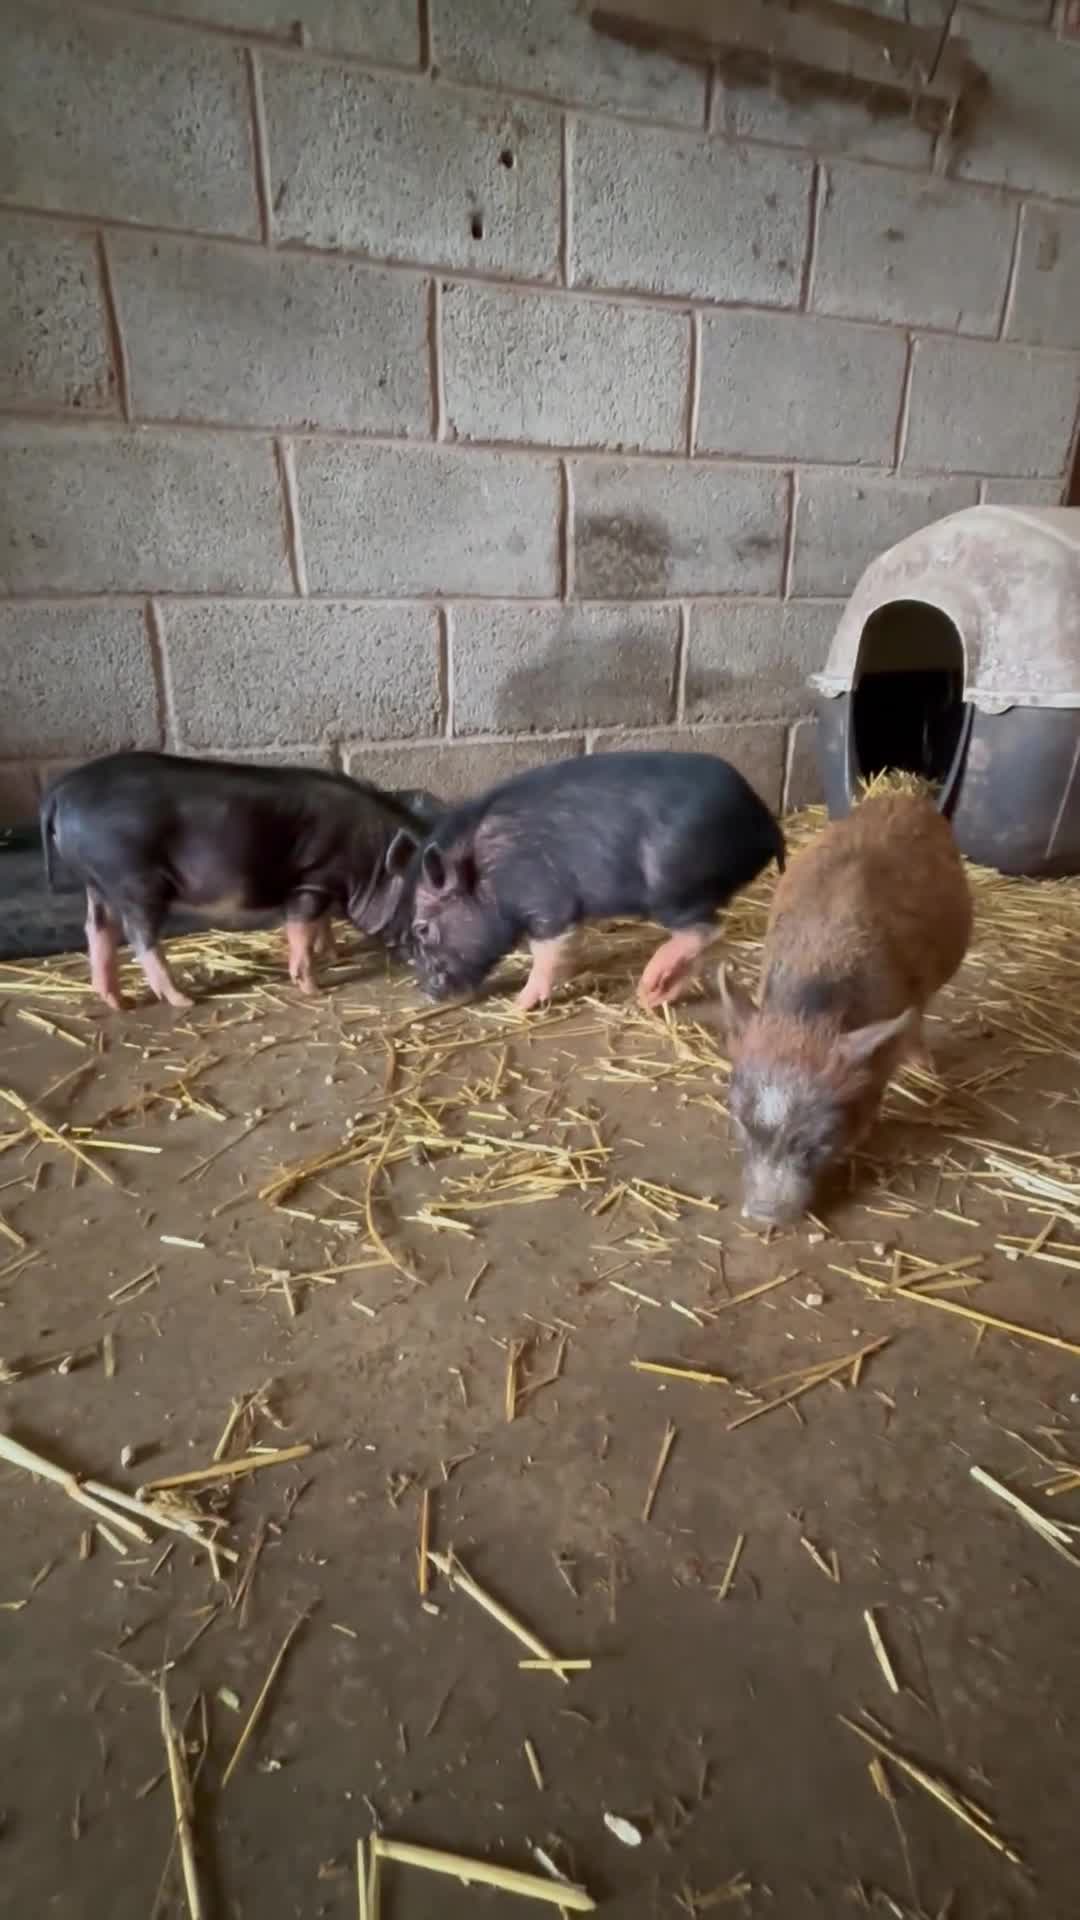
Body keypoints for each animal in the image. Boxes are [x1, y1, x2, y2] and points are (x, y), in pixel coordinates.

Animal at [40, 751, 434, 1011]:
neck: (371, 856)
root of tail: (59, 791)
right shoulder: (313, 880)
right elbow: (301, 929)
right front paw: (314, 988)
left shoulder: (323, 886)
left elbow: (319, 925)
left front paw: (334, 954)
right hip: (135, 880)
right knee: (140, 937)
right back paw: (183, 1000)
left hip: (97, 882)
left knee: (97, 929)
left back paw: (117, 1002)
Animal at [372, 751, 785, 1011]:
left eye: (423, 928)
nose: (427, 991)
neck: (485, 869)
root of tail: (763, 818)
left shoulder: (545, 901)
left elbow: (547, 951)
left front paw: (519, 1005)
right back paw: (655, 998)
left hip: (673, 889)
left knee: (706, 930)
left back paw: (647, 986)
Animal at [718, 788, 973, 1227]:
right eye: (741, 1118)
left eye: (818, 1136)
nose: (764, 1216)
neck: (806, 1016)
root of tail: (903, 794)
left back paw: (928, 1069)